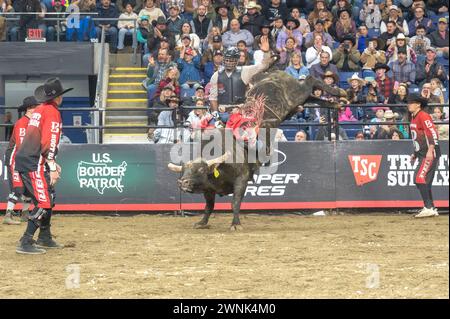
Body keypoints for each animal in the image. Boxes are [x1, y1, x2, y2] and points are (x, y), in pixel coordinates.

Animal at [167, 71, 346, 231]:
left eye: (200, 170)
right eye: (184, 170)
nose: (183, 182)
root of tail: (273, 74)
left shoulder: (242, 180)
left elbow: (235, 203)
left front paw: (236, 224)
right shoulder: (209, 189)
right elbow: (209, 206)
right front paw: (202, 223)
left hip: (297, 93)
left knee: (310, 80)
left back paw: (340, 92)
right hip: (295, 104)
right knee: (311, 96)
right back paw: (336, 103)